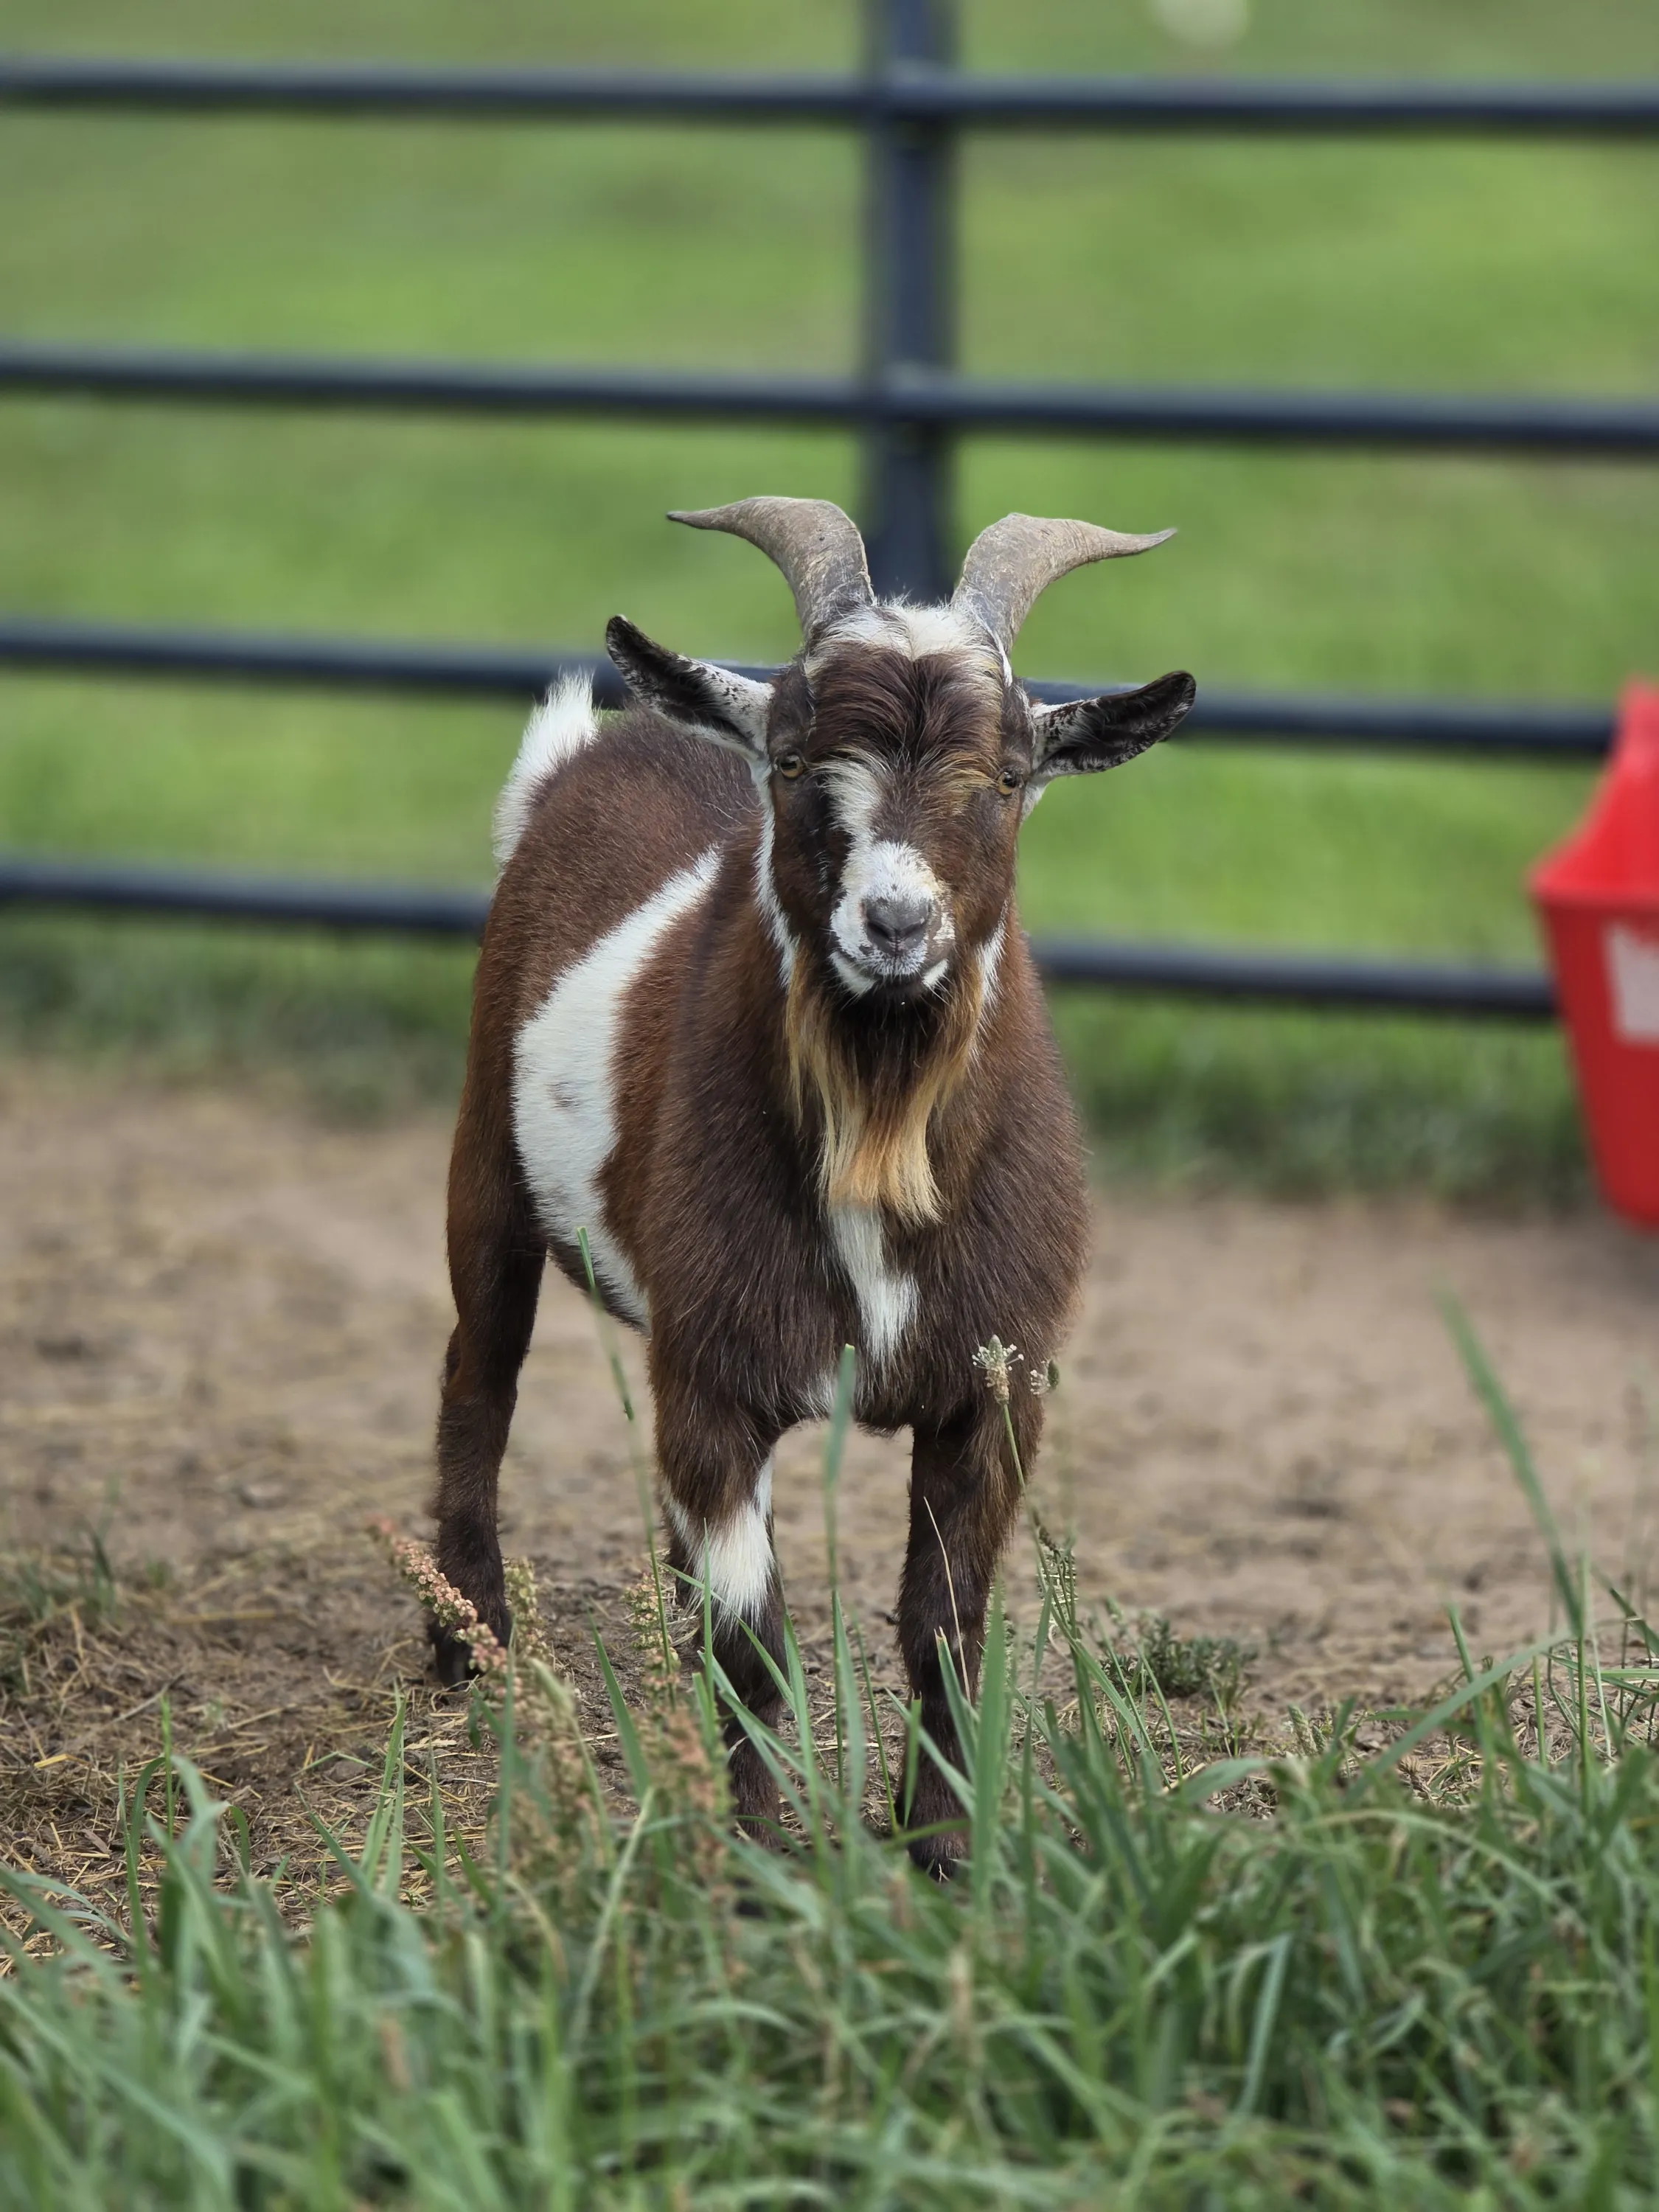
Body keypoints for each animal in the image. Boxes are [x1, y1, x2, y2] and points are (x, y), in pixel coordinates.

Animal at [432, 497, 1193, 1869]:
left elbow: (945, 1625)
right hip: (486, 1161)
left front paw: (939, 1847)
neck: (877, 1142)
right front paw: (758, 1859)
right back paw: (468, 1640)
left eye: (1009, 777)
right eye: (791, 764)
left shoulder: (997, 1384)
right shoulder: (717, 1372)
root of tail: (589, 755)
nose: (892, 925)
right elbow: (753, 1646)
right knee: (480, 1375)